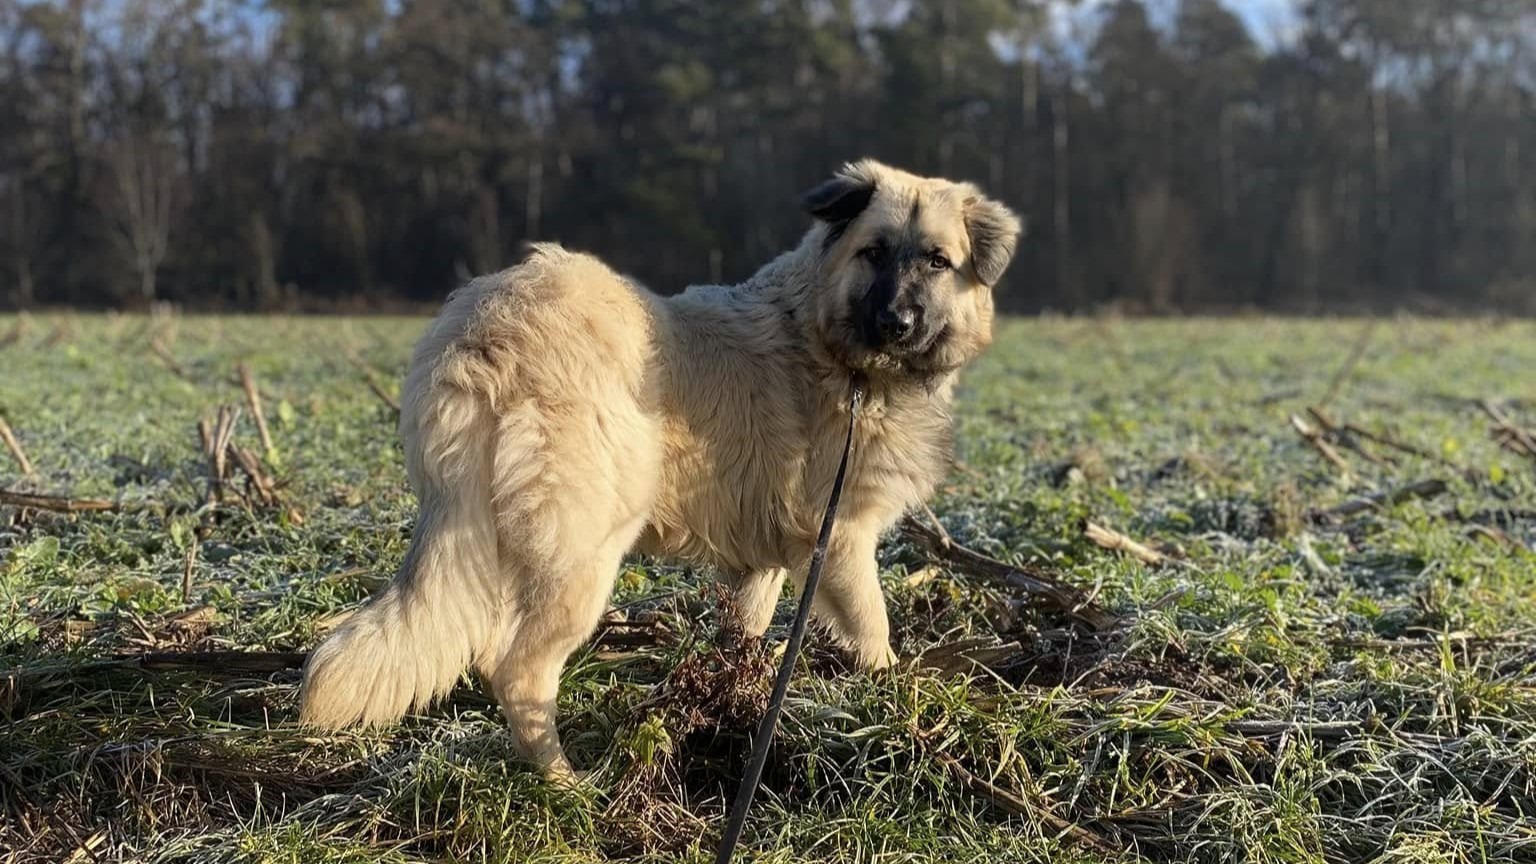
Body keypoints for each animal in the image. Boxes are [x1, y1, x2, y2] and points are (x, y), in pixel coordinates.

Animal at [297, 158, 1019, 777]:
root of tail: (486, 328)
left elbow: (743, 635)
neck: (836, 349)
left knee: (487, 646)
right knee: (518, 671)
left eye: (937, 261)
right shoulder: (838, 541)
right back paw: (565, 783)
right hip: (585, 556)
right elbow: (873, 629)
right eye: (873, 251)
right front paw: (897, 700)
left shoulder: (761, 559)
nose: (896, 322)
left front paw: (738, 704)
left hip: (497, 543)